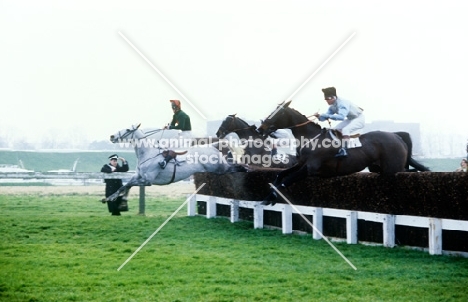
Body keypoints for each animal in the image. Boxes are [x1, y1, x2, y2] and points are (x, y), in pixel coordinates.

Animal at [258, 102, 430, 205]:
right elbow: (279, 175)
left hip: (392, 169)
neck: (311, 138)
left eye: (277, 113)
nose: (260, 128)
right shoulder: (300, 164)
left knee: (409, 172)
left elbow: (284, 181)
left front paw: (270, 198)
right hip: (378, 168)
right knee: (411, 170)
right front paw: (268, 198)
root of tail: (397, 136)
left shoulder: (310, 169)